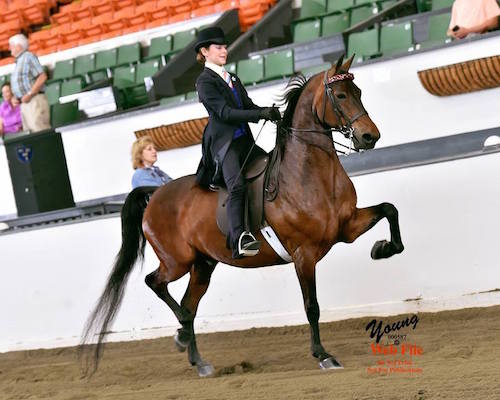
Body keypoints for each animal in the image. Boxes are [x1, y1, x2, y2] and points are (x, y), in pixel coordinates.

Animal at [80, 54, 404, 376]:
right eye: (340, 96)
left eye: (358, 92)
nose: (369, 136)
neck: (308, 175)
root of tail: (154, 194)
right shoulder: (304, 253)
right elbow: (312, 306)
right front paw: (323, 355)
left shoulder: (346, 227)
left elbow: (390, 210)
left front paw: (382, 248)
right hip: (177, 261)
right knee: (157, 284)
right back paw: (182, 334)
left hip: (203, 265)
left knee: (189, 304)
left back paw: (198, 359)